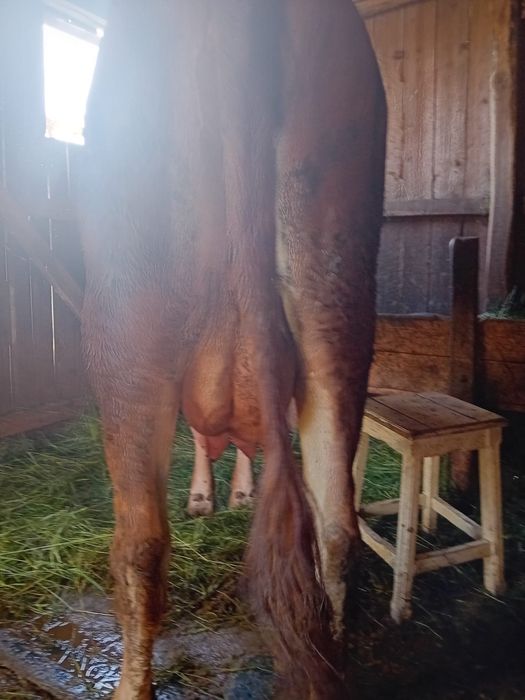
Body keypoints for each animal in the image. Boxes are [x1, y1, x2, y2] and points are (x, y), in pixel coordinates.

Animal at [80, 1, 386, 698]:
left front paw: (210, 496)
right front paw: (228, 493)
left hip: (127, 314)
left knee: (141, 543)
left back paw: (131, 685)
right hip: (338, 293)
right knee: (336, 527)